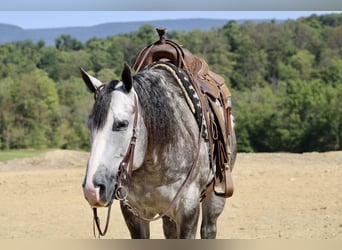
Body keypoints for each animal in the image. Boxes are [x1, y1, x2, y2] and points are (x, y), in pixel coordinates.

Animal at [80, 62, 236, 238]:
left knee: (208, 228)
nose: (92, 189)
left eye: (122, 124)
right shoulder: (134, 213)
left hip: (216, 196)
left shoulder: (188, 209)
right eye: (89, 125)